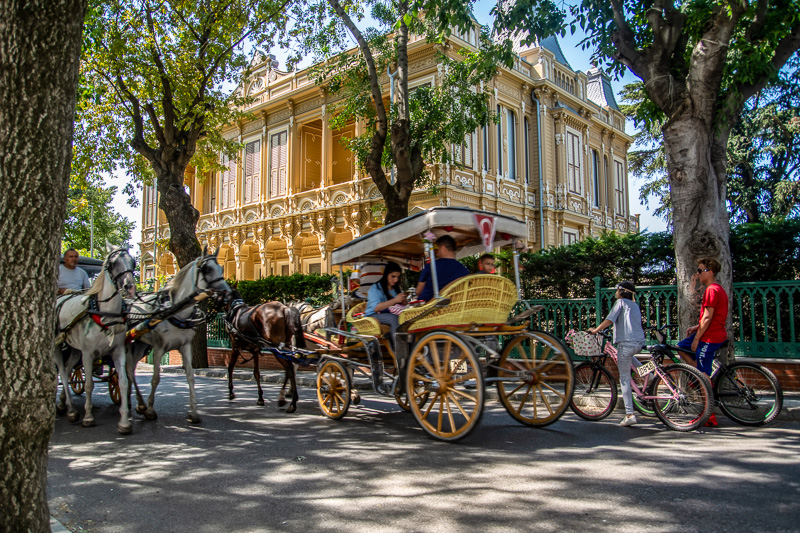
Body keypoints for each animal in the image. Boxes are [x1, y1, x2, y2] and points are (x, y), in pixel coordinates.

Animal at [54, 244, 137, 432]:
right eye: (113, 263)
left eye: (133, 262)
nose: (129, 287)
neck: (105, 314)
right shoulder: (88, 353)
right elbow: (89, 385)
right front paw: (88, 417)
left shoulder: (118, 351)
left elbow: (123, 381)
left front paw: (124, 421)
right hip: (57, 346)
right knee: (62, 372)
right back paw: (71, 410)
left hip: (75, 350)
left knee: (68, 370)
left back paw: (64, 403)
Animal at [125, 246, 230, 424]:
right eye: (207, 269)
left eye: (222, 268)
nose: (227, 292)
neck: (176, 310)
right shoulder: (159, 347)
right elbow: (155, 378)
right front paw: (151, 411)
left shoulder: (185, 346)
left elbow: (191, 377)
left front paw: (193, 413)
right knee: (125, 368)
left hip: (139, 344)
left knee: (130, 368)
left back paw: (138, 404)